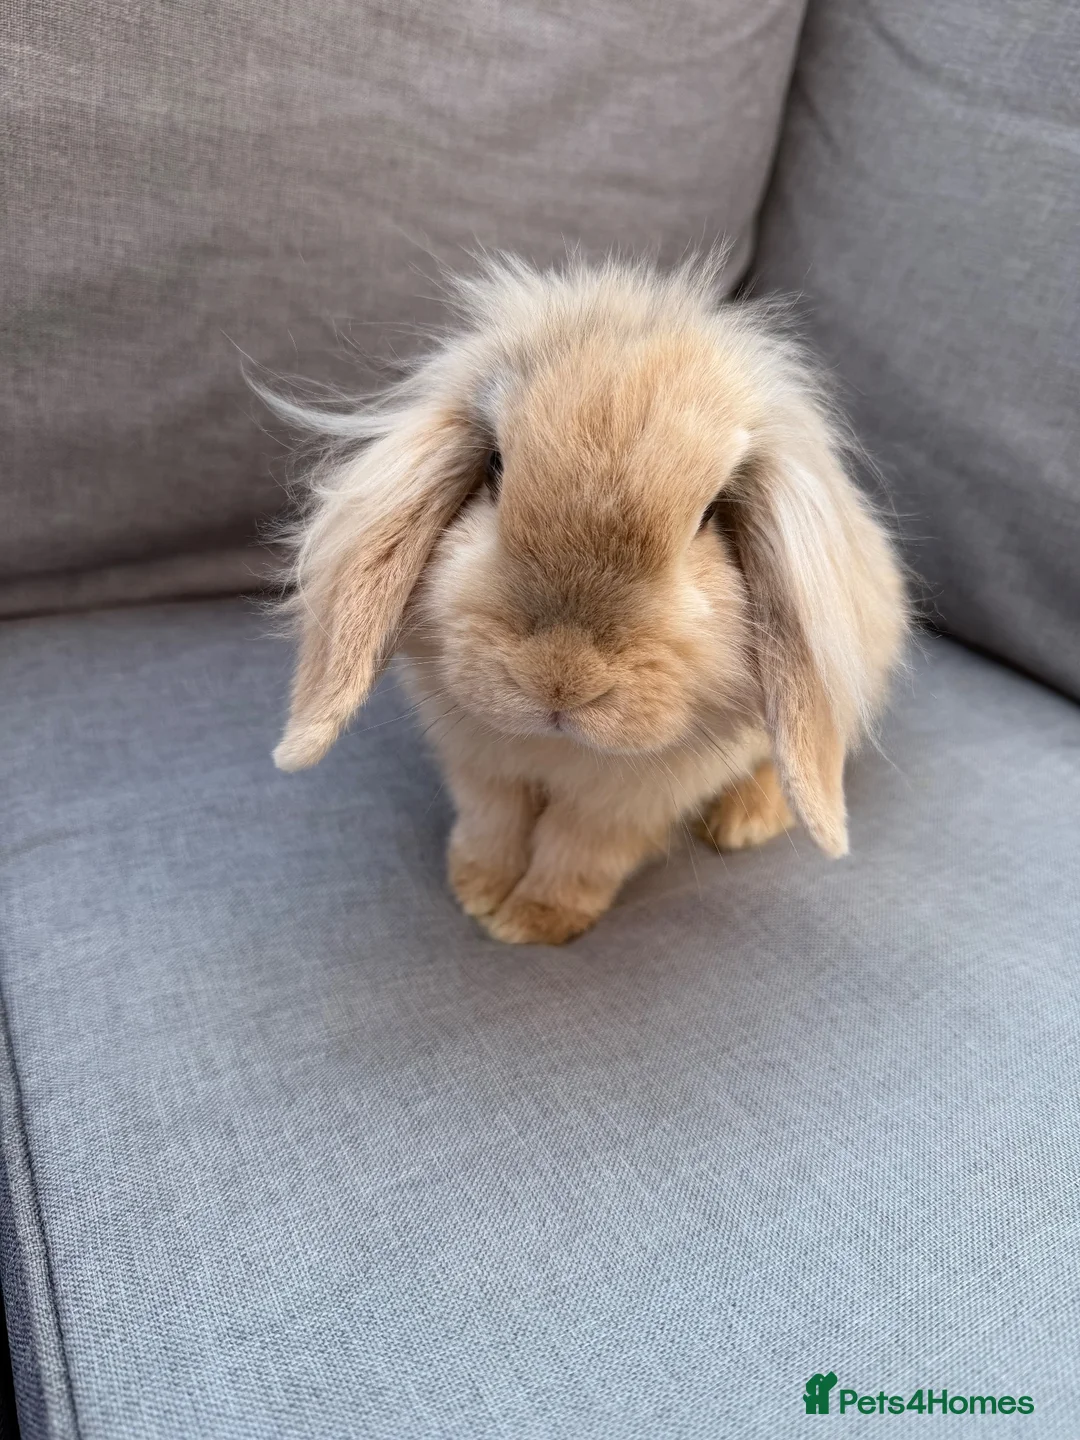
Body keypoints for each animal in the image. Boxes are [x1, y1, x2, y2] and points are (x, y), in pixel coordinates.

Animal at [266, 255, 907, 945]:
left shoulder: (624, 804)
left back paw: (743, 822)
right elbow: (492, 825)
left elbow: (579, 851)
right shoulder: (482, 769)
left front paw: (532, 922)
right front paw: (478, 892)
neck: (558, 750)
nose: (560, 679)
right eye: (494, 468)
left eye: (710, 514)